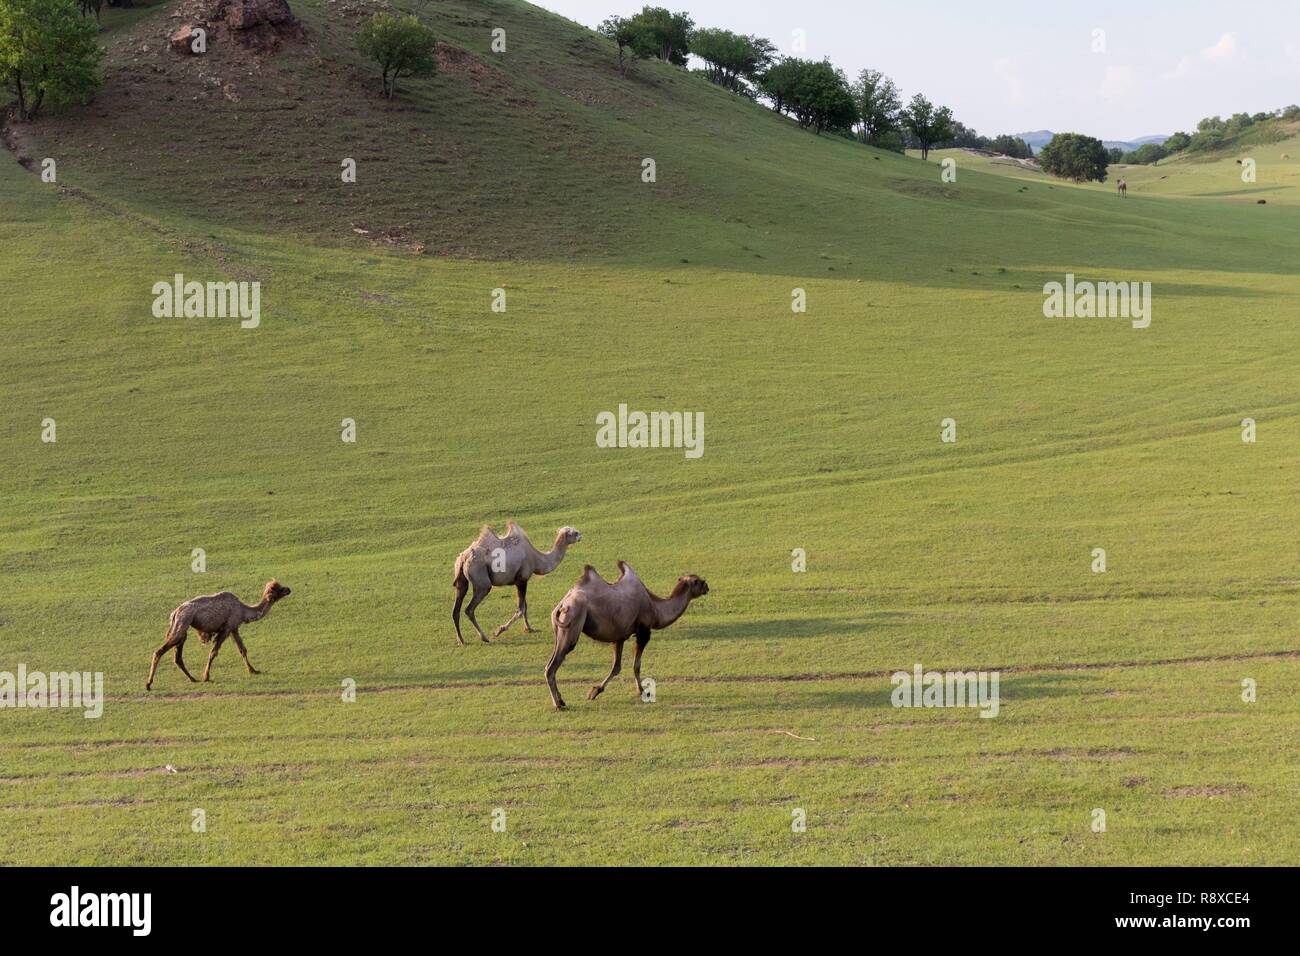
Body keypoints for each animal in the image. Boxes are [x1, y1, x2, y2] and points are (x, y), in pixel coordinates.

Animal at [145, 580, 291, 690]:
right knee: (159, 651)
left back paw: (193, 679)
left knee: (177, 657)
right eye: (279, 588)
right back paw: (148, 684)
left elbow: (242, 649)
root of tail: (175, 613)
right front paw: (206, 677)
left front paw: (253, 670)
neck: (243, 611)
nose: (289, 589)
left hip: (182, 629)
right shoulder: (226, 628)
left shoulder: (234, 628)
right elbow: (214, 652)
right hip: (183, 623)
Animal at [451, 522, 581, 646]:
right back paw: (484, 638)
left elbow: (525, 606)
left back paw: (461, 640)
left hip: (462, 580)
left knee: (456, 609)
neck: (536, 559)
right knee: (469, 609)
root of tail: (463, 559)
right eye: (574, 532)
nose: (581, 535)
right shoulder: (522, 580)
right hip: (481, 581)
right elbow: (521, 609)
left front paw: (529, 628)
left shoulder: (520, 582)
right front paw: (499, 630)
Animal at [545, 561, 709, 710]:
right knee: (552, 666)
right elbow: (636, 665)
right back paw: (558, 704)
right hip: (572, 619)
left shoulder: (620, 637)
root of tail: (562, 604)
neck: (656, 609)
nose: (707, 587)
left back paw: (561, 700)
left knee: (550, 663)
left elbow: (616, 667)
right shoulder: (643, 631)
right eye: (700, 581)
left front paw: (595, 691)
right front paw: (642, 691)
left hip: (560, 627)